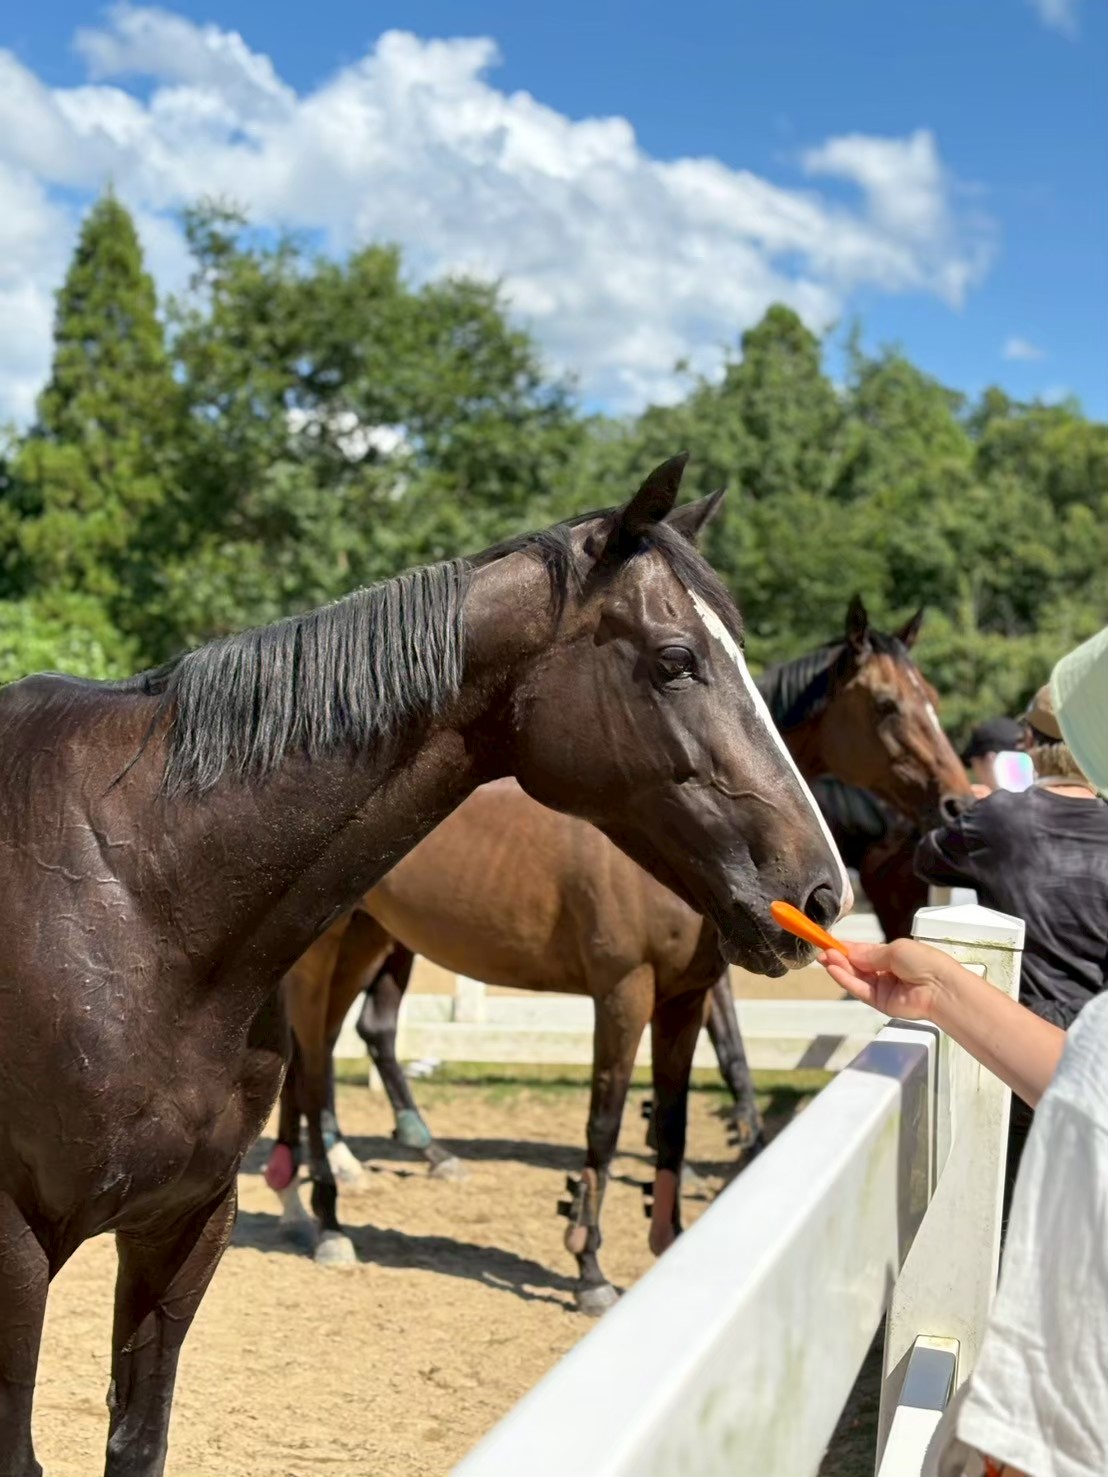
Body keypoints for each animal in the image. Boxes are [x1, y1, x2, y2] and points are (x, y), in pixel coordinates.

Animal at [0, 454, 852, 1477]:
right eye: (677, 658)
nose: (821, 891)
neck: (132, 897)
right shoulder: (12, 1256)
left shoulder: (182, 1228)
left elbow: (138, 1439)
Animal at [270, 598, 969, 1308]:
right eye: (886, 704)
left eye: (933, 698)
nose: (957, 801)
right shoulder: (624, 992)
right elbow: (603, 1124)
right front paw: (589, 1268)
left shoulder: (688, 995)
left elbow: (682, 1110)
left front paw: (671, 1233)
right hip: (324, 953)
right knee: (312, 1062)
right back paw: (326, 1218)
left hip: (369, 940)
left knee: (330, 1050)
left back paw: (323, 1191)